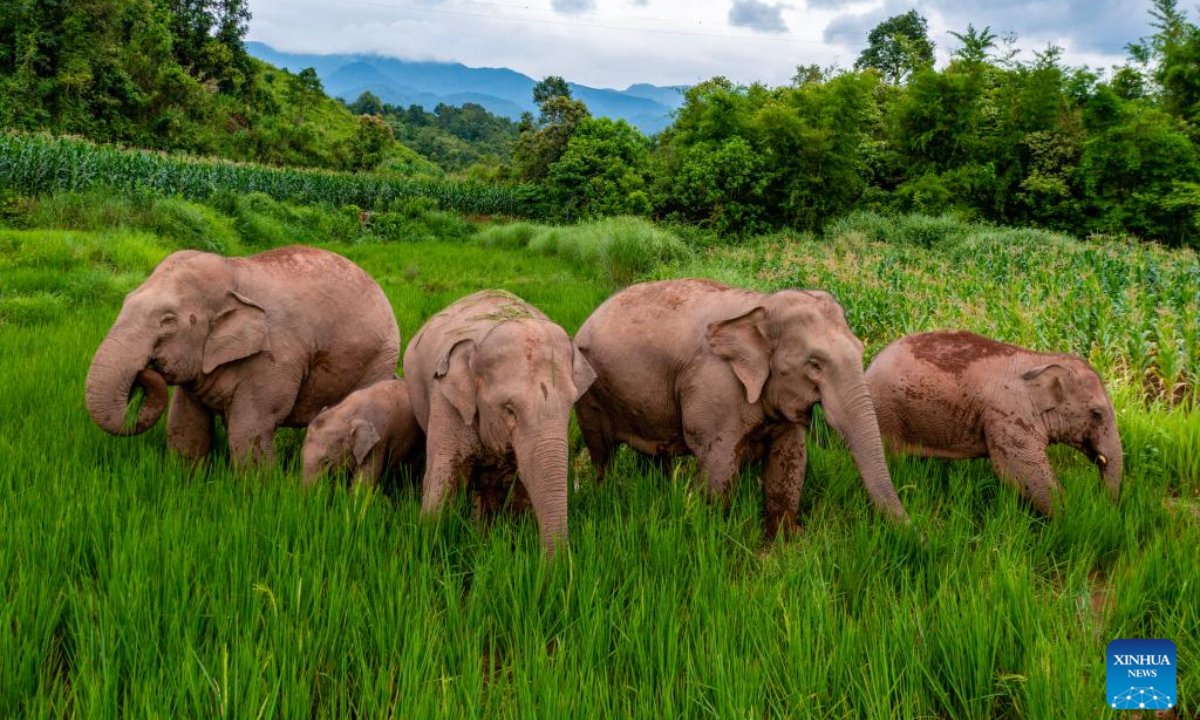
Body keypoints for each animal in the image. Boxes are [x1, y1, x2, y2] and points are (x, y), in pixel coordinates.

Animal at [85, 246, 400, 467]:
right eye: (125, 301)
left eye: (168, 320)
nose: (143, 371)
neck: (233, 271)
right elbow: (184, 425)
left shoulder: (274, 357)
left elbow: (249, 430)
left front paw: (258, 495)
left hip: (379, 359)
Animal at [403, 290, 595, 556]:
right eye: (509, 409)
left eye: (570, 406)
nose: (551, 566)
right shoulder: (446, 401)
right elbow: (442, 481)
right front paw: (426, 548)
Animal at [573, 279, 909, 538]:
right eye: (815, 365)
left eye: (861, 349)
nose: (915, 533)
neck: (760, 306)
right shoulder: (714, 386)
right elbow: (719, 465)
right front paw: (711, 536)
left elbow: (789, 459)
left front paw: (783, 546)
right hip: (590, 394)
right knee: (602, 452)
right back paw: (603, 494)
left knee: (655, 456)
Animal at [865, 330, 1123, 514]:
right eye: (1097, 413)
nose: (1104, 504)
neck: (1041, 360)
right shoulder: (1009, 416)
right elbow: (1021, 472)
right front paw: (1069, 519)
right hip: (886, 412)